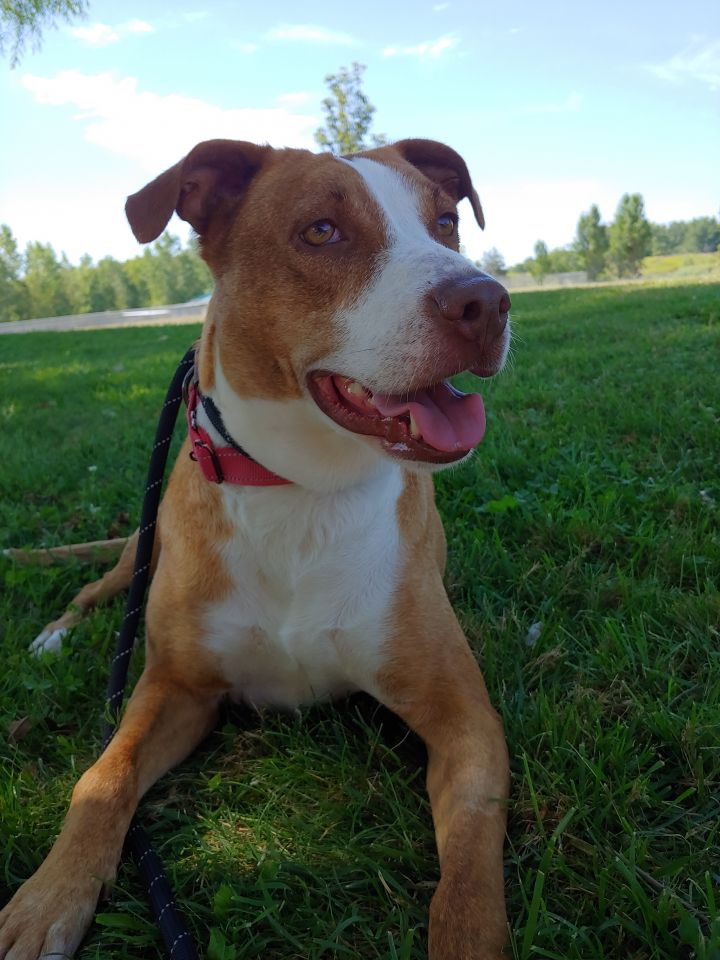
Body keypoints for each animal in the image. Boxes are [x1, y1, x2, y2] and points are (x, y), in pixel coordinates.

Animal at [2, 137, 516, 960]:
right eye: (321, 232)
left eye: (445, 222)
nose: (485, 302)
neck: (301, 491)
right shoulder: (174, 687)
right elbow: (102, 778)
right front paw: (47, 900)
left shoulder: (463, 716)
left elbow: (469, 868)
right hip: (138, 551)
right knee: (90, 590)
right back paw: (55, 635)